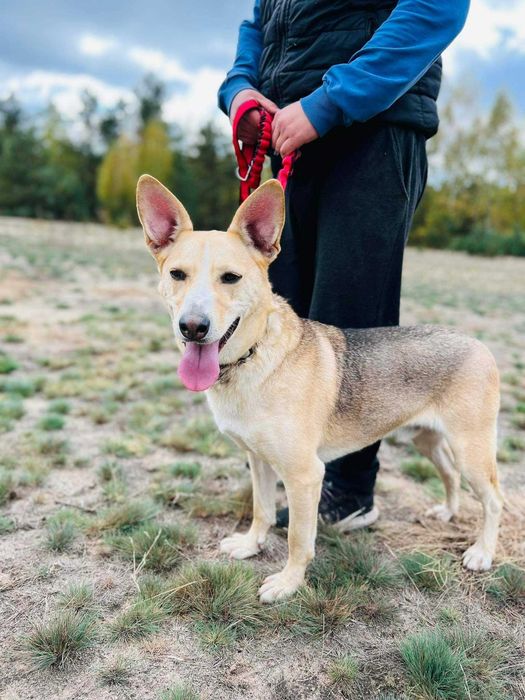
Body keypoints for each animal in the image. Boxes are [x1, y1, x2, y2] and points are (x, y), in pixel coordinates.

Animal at [136, 174, 504, 600]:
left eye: (231, 277)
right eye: (177, 274)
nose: (193, 327)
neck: (253, 359)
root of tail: (478, 343)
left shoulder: (305, 475)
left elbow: (298, 538)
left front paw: (288, 583)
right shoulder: (258, 459)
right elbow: (262, 510)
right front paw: (250, 545)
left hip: (471, 449)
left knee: (494, 498)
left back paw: (482, 552)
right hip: (426, 438)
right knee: (449, 474)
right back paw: (447, 511)